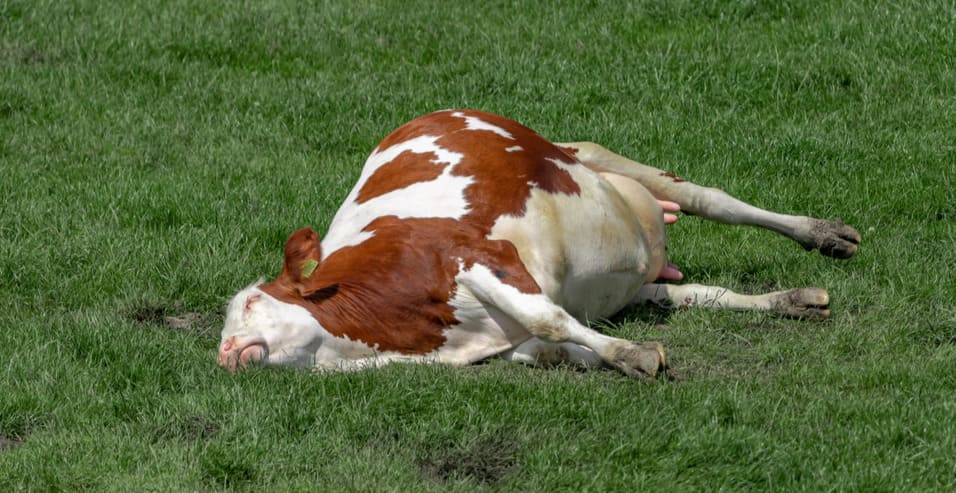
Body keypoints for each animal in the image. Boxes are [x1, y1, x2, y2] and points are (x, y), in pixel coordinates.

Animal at [218, 109, 859, 379]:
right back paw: (792, 301)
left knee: (709, 198)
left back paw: (823, 234)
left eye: (251, 304)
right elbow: (554, 349)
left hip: (590, 154)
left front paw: (633, 355)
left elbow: (548, 319)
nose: (225, 353)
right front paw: (613, 356)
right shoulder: (498, 345)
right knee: (697, 295)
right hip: (636, 282)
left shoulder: (484, 260)